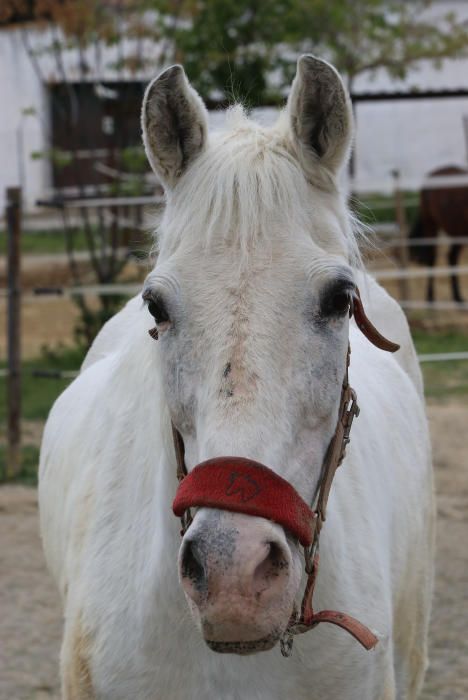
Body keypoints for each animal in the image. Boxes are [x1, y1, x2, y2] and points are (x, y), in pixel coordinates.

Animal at [410, 168, 468, 304]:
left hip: (457, 230)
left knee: (451, 257)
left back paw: (458, 297)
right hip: (431, 223)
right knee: (433, 256)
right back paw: (430, 297)